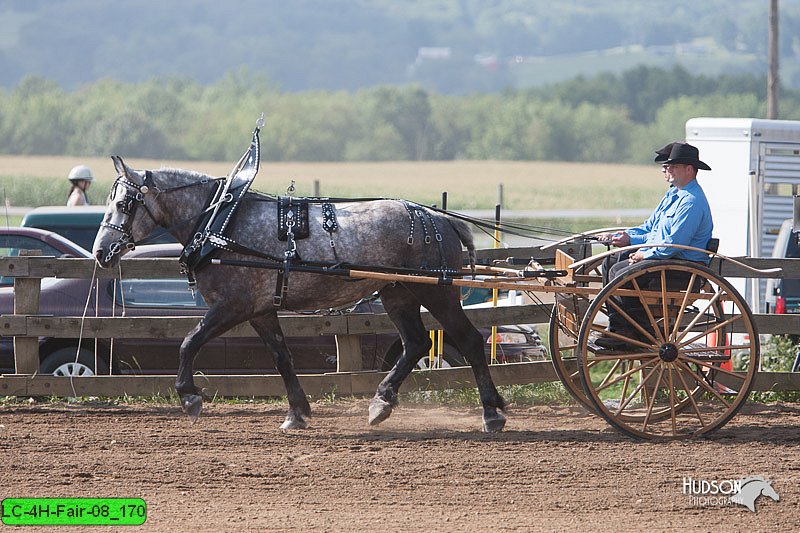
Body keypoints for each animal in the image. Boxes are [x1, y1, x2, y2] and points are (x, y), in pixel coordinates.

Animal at [92, 156, 506, 430]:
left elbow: (189, 342)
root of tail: (440, 219)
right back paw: (381, 403)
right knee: (416, 343)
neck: (221, 224)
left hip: (437, 294)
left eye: (124, 203)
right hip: (398, 293)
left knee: (469, 340)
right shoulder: (260, 310)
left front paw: (190, 396)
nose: (100, 251)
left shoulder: (232, 307)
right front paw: (297, 413)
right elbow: (282, 357)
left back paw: (492, 412)